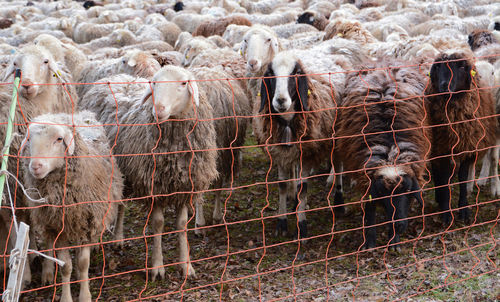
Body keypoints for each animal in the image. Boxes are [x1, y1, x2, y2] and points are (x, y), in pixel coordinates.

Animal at [21, 112, 123, 302]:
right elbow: (65, 266)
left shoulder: (87, 222)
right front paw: (66, 296)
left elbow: (83, 264)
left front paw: (85, 295)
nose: (36, 166)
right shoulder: (58, 227)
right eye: (29, 139)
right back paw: (48, 272)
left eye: (59, 139)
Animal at [79, 67, 218, 280]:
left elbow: (182, 225)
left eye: (183, 83)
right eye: (153, 82)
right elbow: (159, 224)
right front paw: (157, 267)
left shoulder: (183, 186)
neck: (173, 151)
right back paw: (112, 239)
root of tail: (116, 76)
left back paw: (117, 237)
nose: (158, 109)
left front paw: (186, 266)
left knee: (121, 205)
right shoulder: (154, 186)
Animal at [426, 49, 496, 224]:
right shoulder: (442, 149)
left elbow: (463, 179)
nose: (444, 86)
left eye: (461, 67)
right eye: (438, 67)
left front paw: (464, 209)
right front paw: (446, 213)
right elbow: (444, 180)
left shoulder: (467, 148)